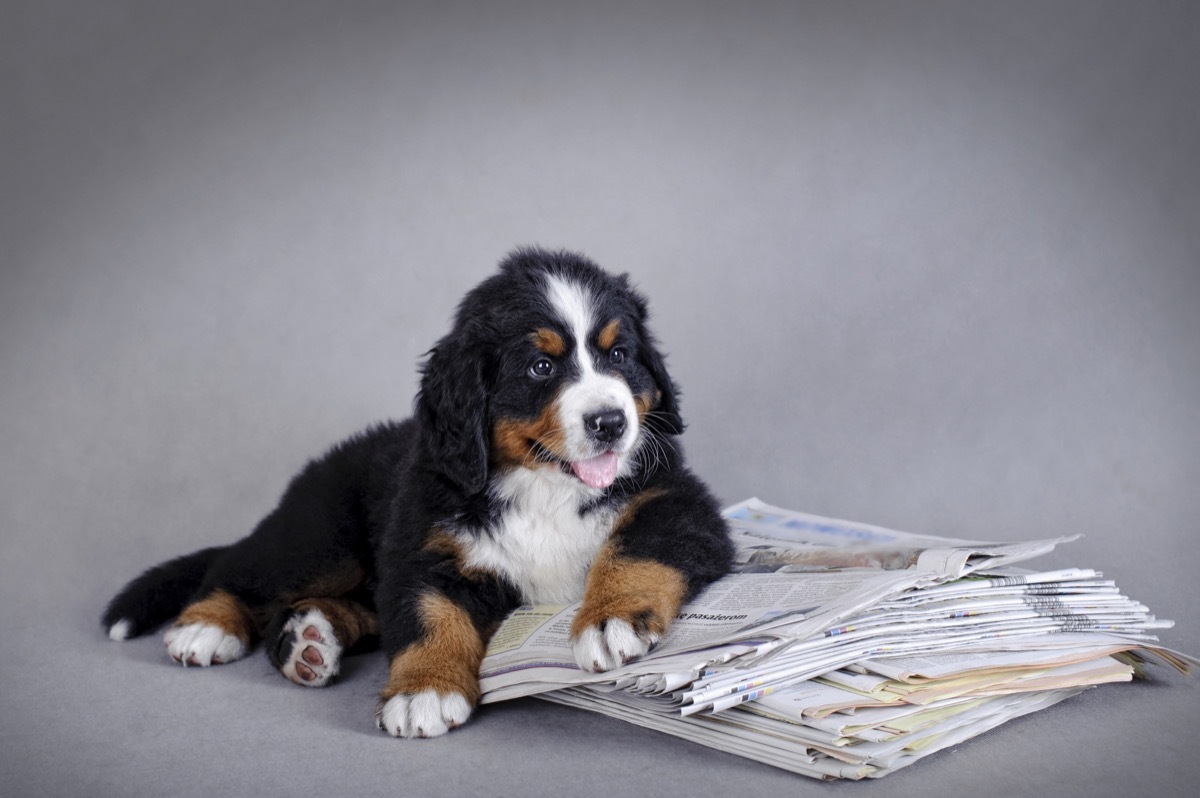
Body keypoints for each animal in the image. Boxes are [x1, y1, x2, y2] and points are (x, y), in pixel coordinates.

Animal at [103, 247, 734, 734]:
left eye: (619, 354)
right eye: (540, 367)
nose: (610, 422)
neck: (543, 487)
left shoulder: (676, 499)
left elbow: (636, 546)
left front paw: (609, 618)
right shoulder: (423, 542)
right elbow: (430, 614)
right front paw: (423, 690)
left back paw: (309, 640)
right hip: (323, 536)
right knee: (243, 567)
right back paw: (208, 626)